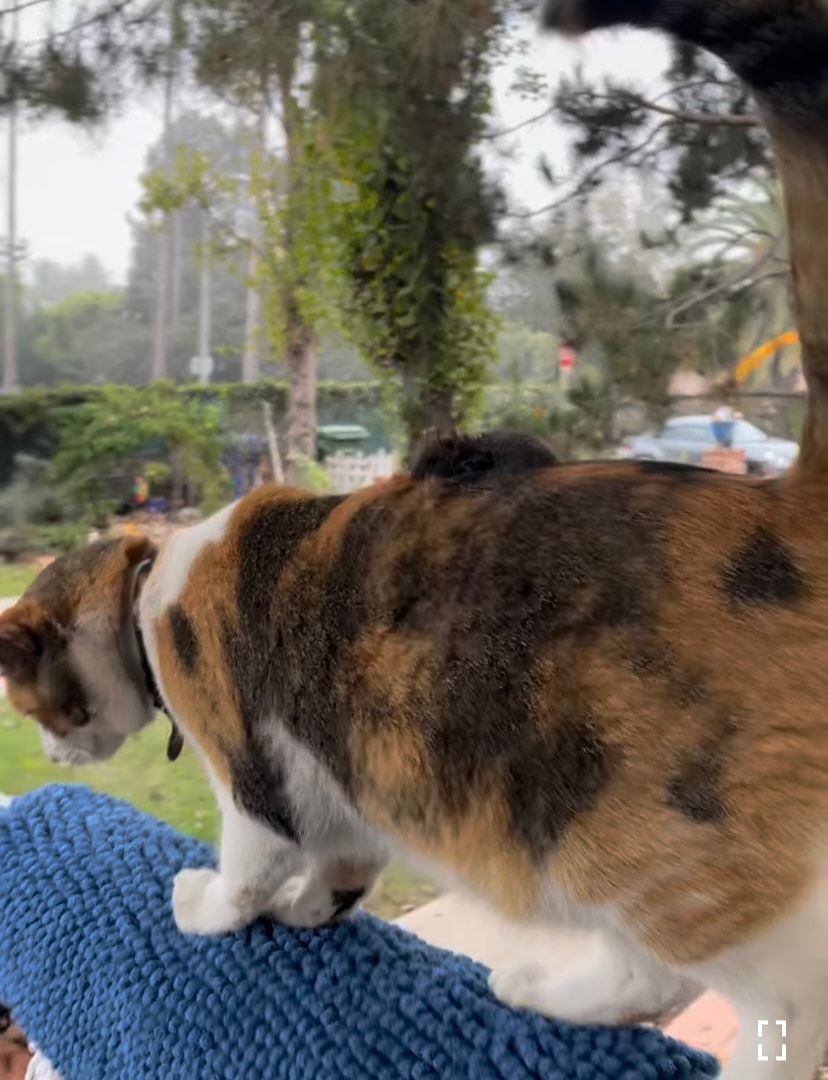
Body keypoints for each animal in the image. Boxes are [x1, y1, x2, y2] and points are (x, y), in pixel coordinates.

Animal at [0, 2, 824, 1080]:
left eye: (30, 705)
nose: (47, 758)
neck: (146, 587)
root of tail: (786, 500)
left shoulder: (248, 768)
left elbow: (244, 870)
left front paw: (203, 908)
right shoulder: (337, 784)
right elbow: (341, 865)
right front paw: (313, 911)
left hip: (633, 832)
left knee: (761, 992)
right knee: (665, 975)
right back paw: (535, 987)